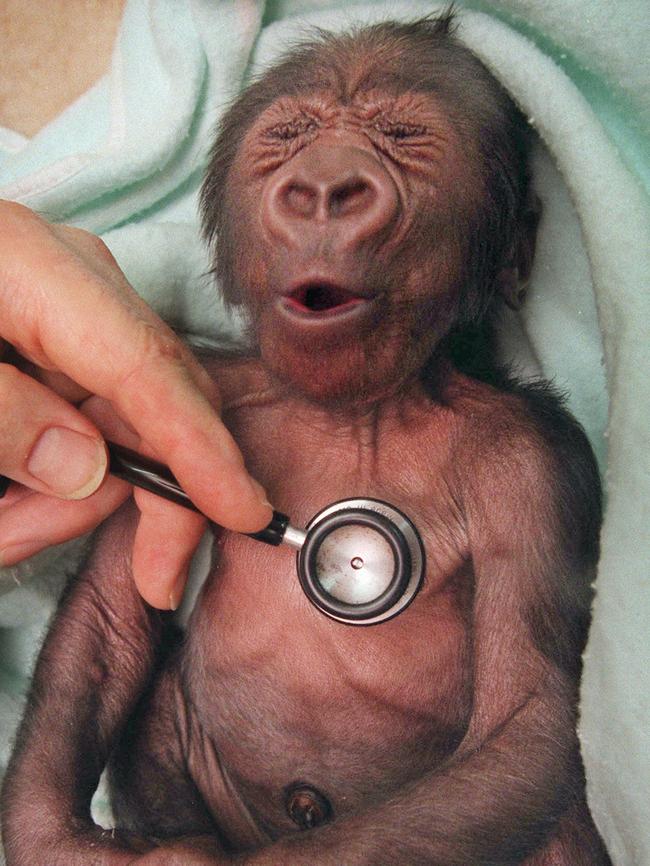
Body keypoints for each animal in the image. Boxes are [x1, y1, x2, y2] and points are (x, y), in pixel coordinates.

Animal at [1, 13, 608, 864]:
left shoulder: (536, 467)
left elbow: (526, 723)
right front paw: (52, 837)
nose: (323, 186)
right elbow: (111, 613)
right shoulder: (197, 395)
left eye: (404, 135)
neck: (356, 414)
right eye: (287, 138)